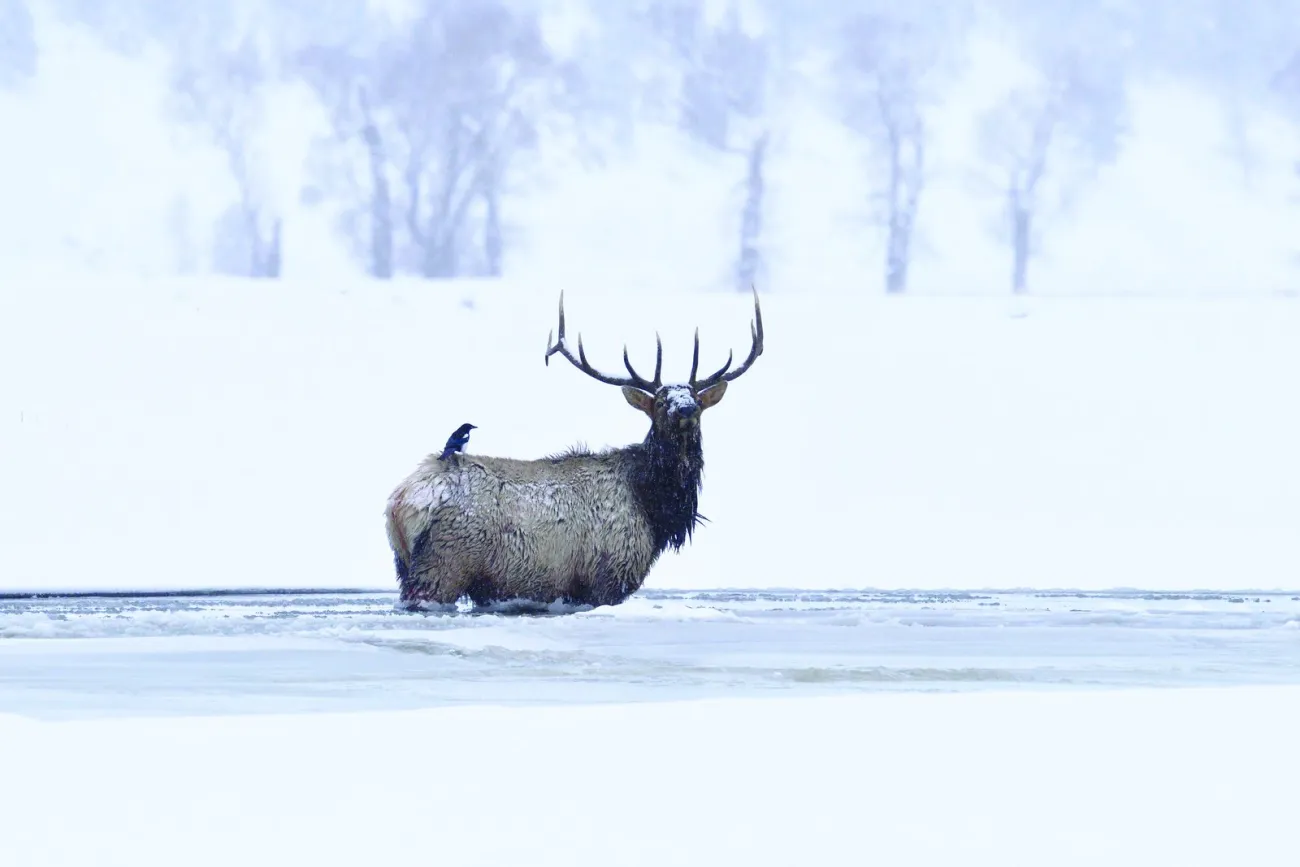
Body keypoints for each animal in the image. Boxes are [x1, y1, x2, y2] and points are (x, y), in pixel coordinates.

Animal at [384, 289, 765, 611]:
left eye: (696, 399)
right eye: (660, 402)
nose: (685, 409)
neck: (654, 508)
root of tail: (400, 502)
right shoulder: (609, 574)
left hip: (406, 564)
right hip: (444, 564)